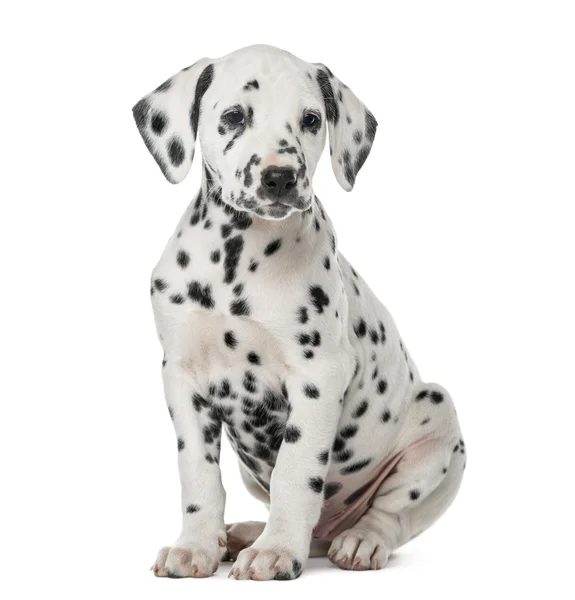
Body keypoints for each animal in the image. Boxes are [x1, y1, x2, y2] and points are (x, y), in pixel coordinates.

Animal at [133, 44, 466, 580]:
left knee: (390, 516)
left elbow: (295, 472)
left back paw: (357, 541)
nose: (281, 177)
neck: (235, 259)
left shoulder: (318, 376)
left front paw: (275, 551)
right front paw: (196, 546)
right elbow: (198, 475)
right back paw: (245, 533)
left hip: (437, 419)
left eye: (311, 119)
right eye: (233, 116)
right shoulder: (182, 378)